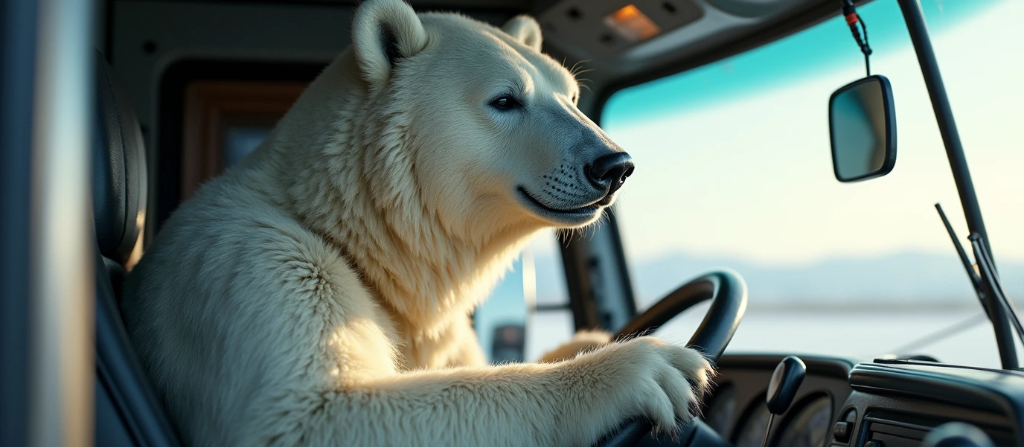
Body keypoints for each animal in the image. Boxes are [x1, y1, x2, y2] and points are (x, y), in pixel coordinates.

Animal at [121, 0, 712, 445]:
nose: (613, 165)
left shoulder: (440, 327)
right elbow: (312, 415)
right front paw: (647, 367)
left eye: (570, 94)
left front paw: (593, 338)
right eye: (505, 99)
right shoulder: (260, 265)